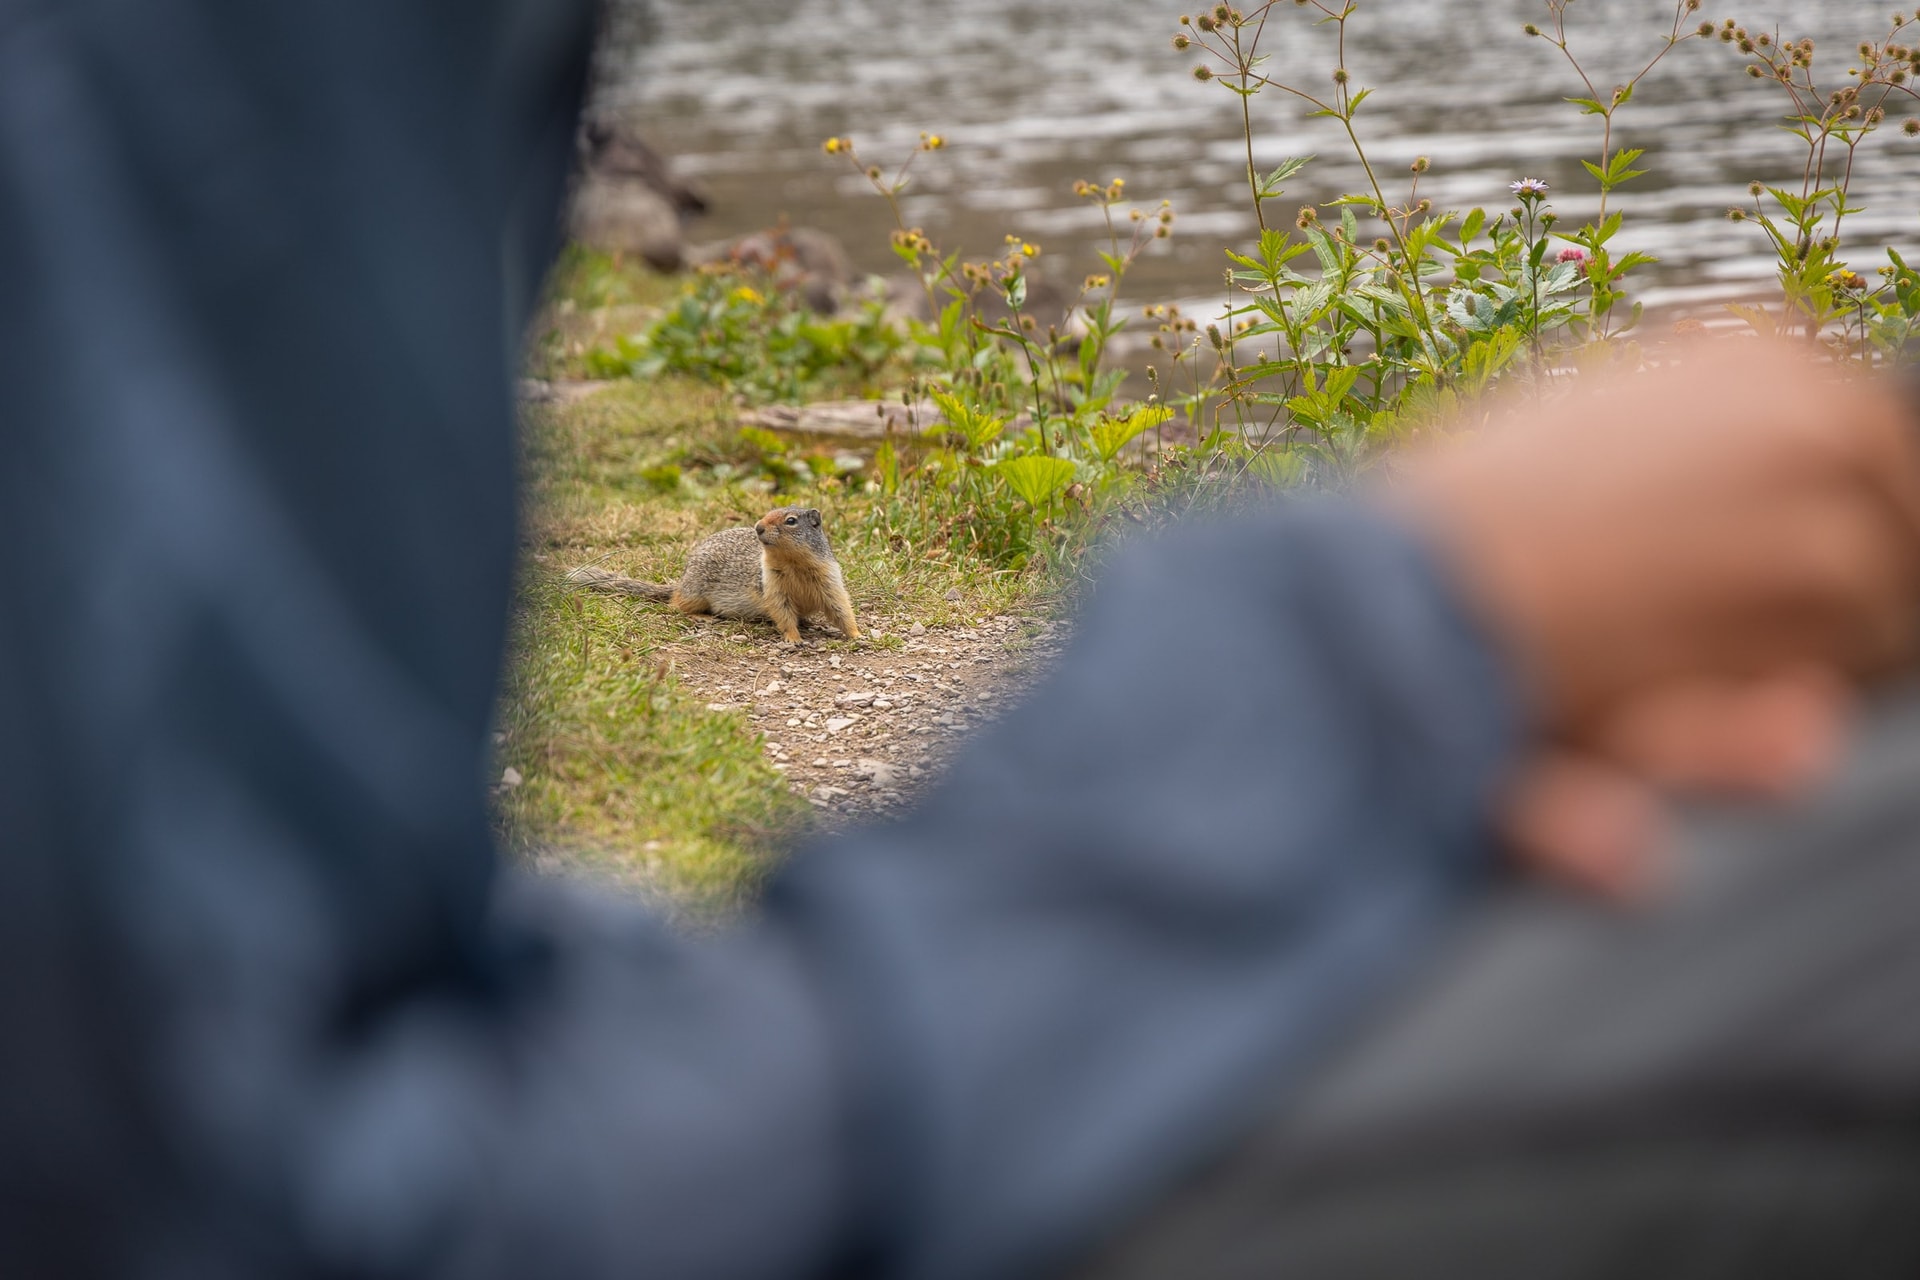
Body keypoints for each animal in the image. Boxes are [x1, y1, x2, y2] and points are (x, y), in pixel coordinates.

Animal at [566, 506, 860, 644]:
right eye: (766, 514)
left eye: (791, 521)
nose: (758, 526)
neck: (793, 564)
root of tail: (681, 582)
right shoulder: (773, 587)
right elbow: (783, 612)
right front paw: (793, 638)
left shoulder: (829, 579)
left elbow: (841, 609)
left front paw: (857, 634)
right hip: (696, 591)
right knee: (676, 606)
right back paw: (702, 617)